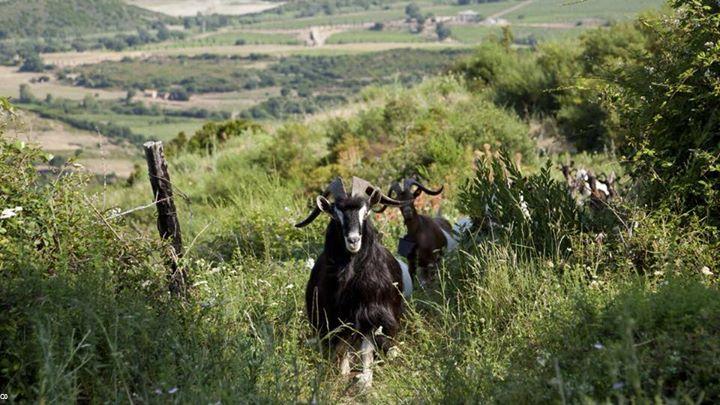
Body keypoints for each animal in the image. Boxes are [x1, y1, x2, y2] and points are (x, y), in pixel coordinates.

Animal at [296, 177, 410, 388]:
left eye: (366, 213)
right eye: (335, 215)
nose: (353, 240)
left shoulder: (371, 314)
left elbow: (366, 349)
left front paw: (365, 380)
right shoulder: (336, 317)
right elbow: (342, 347)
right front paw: (343, 372)